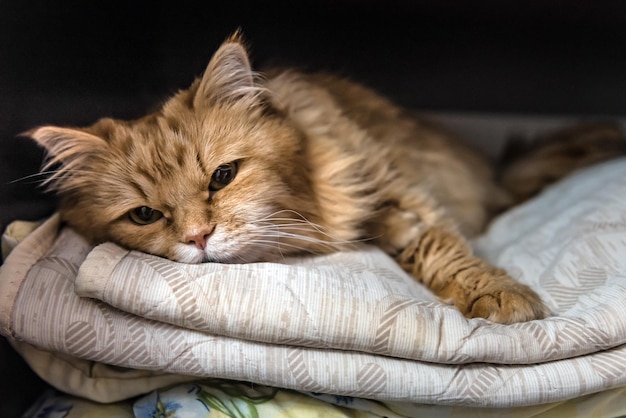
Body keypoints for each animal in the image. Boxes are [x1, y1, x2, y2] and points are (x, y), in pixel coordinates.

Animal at [25, 34, 624, 324]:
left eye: (222, 177)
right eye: (145, 215)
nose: (198, 238)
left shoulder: (386, 180)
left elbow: (443, 249)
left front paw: (499, 295)